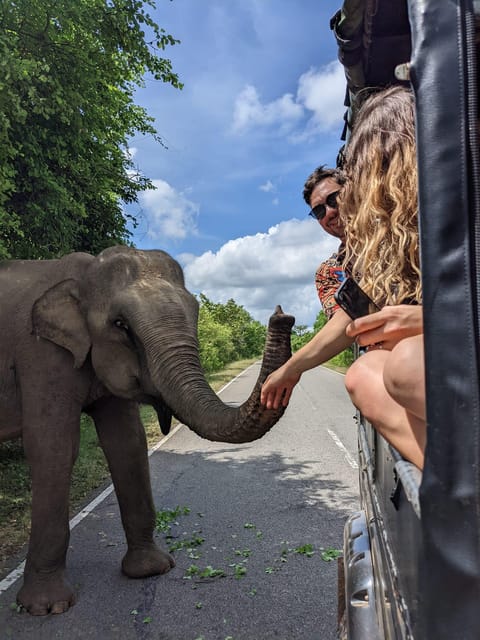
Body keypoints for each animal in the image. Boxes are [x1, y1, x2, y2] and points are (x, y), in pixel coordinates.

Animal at [0, 245, 296, 616]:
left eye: (196, 312)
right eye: (120, 324)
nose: (282, 315)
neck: (85, 274)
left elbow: (127, 442)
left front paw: (151, 570)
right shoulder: (41, 354)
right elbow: (54, 447)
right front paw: (46, 608)